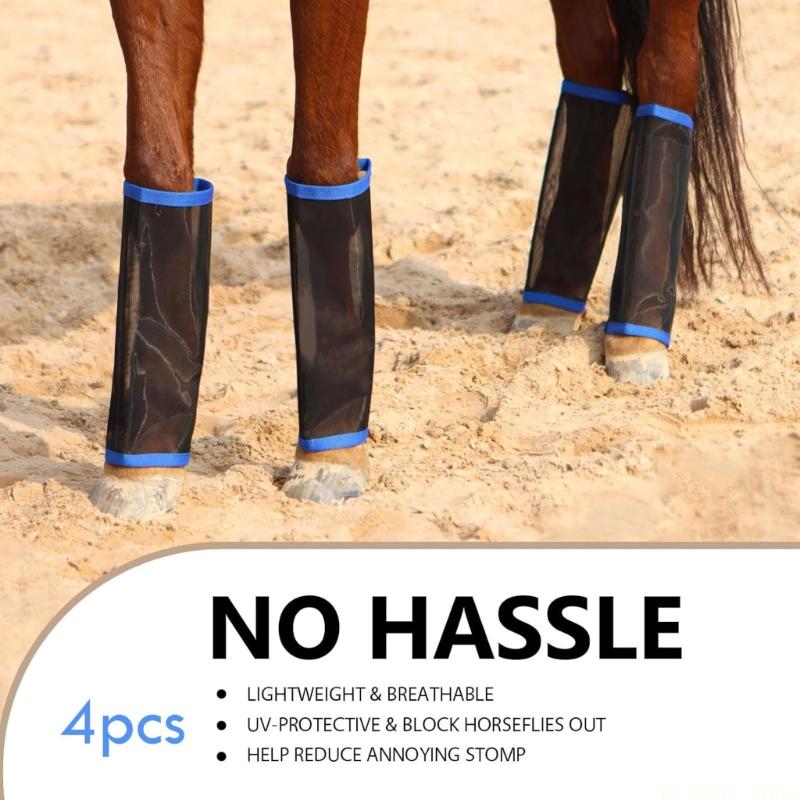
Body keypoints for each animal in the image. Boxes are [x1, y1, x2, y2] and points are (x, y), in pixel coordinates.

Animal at [90, 0, 763, 520]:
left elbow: (322, 157)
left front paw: (331, 459)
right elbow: (157, 162)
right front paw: (140, 467)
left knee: (669, 67)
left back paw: (639, 334)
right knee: (595, 64)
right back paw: (549, 305)